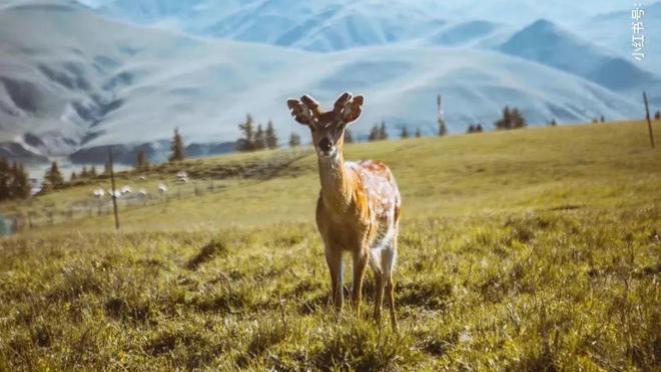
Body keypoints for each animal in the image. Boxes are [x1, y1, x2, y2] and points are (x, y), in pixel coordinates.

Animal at [286, 92, 400, 328]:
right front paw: (337, 323)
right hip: (374, 244)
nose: (325, 144)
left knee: (389, 279)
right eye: (312, 125)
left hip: (391, 233)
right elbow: (337, 293)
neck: (341, 212)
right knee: (379, 276)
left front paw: (355, 323)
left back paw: (394, 325)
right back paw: (377, 319)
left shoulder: (361, 241)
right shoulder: (329, 243)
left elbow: (356, 293)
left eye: (340, 124)